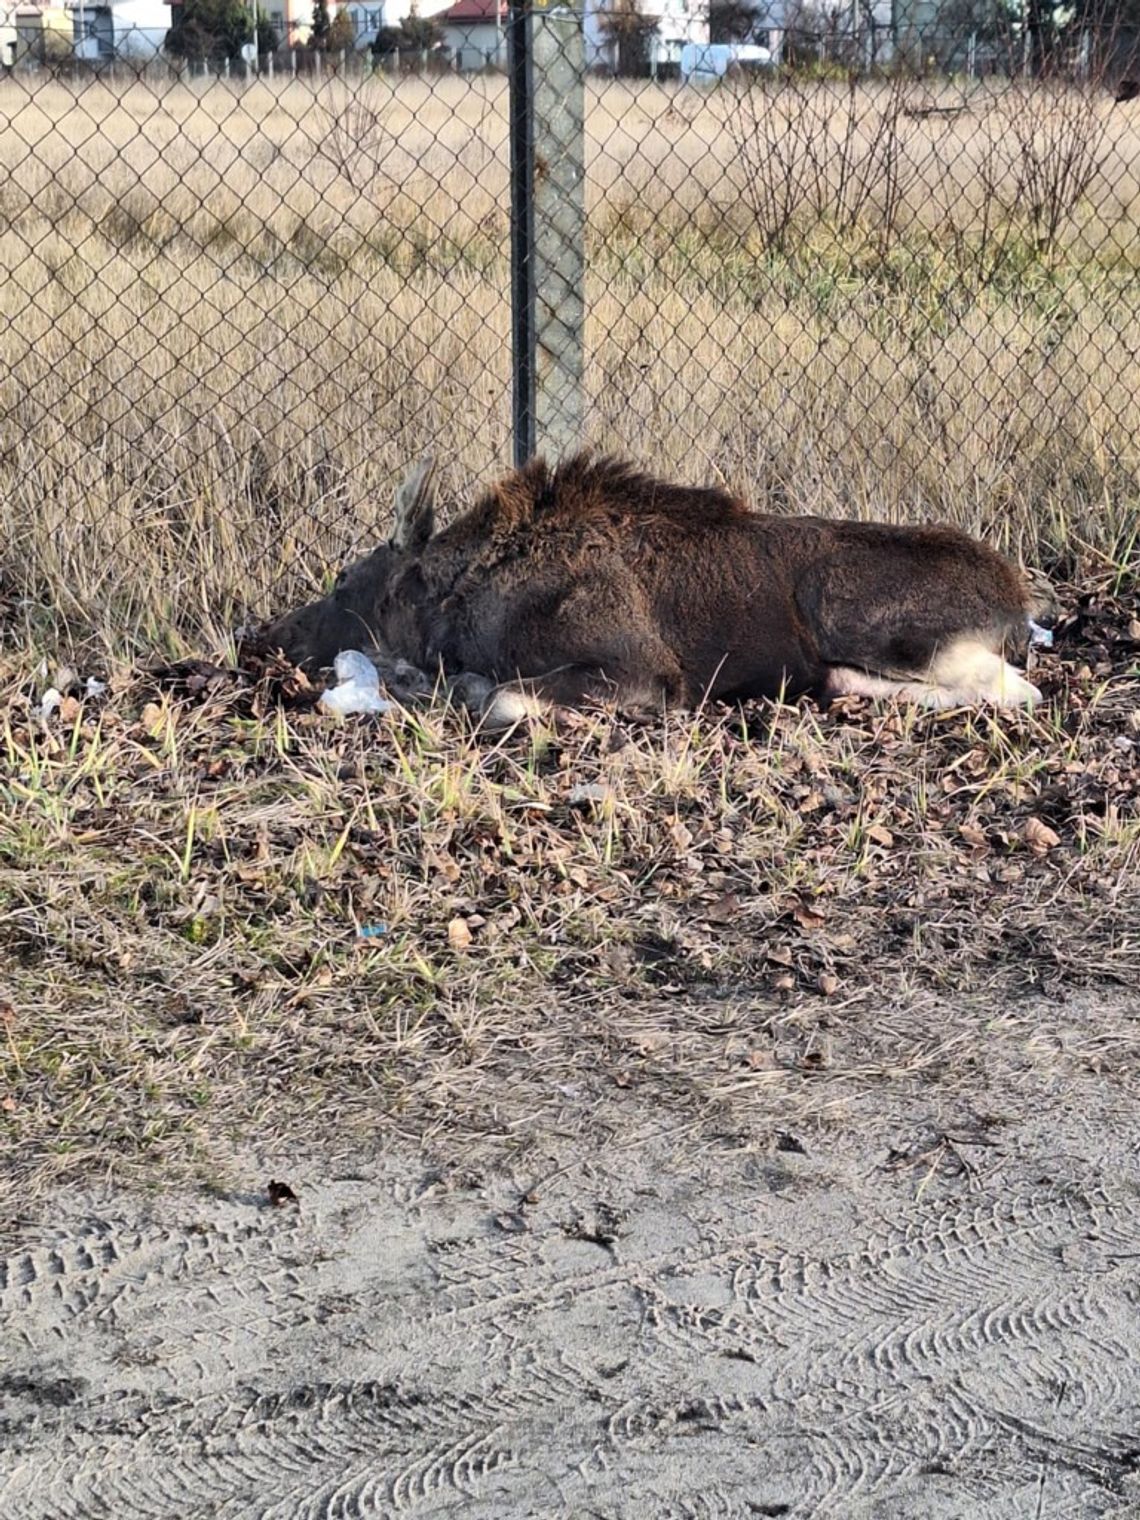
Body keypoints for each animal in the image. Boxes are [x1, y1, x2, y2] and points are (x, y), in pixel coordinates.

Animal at [262, 446, 1057, 726]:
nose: (263, 634)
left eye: (343, 583)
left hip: (854, 610)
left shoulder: (644, 673)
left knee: (1014, 688)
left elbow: (497, 698)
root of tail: (1018, 606)